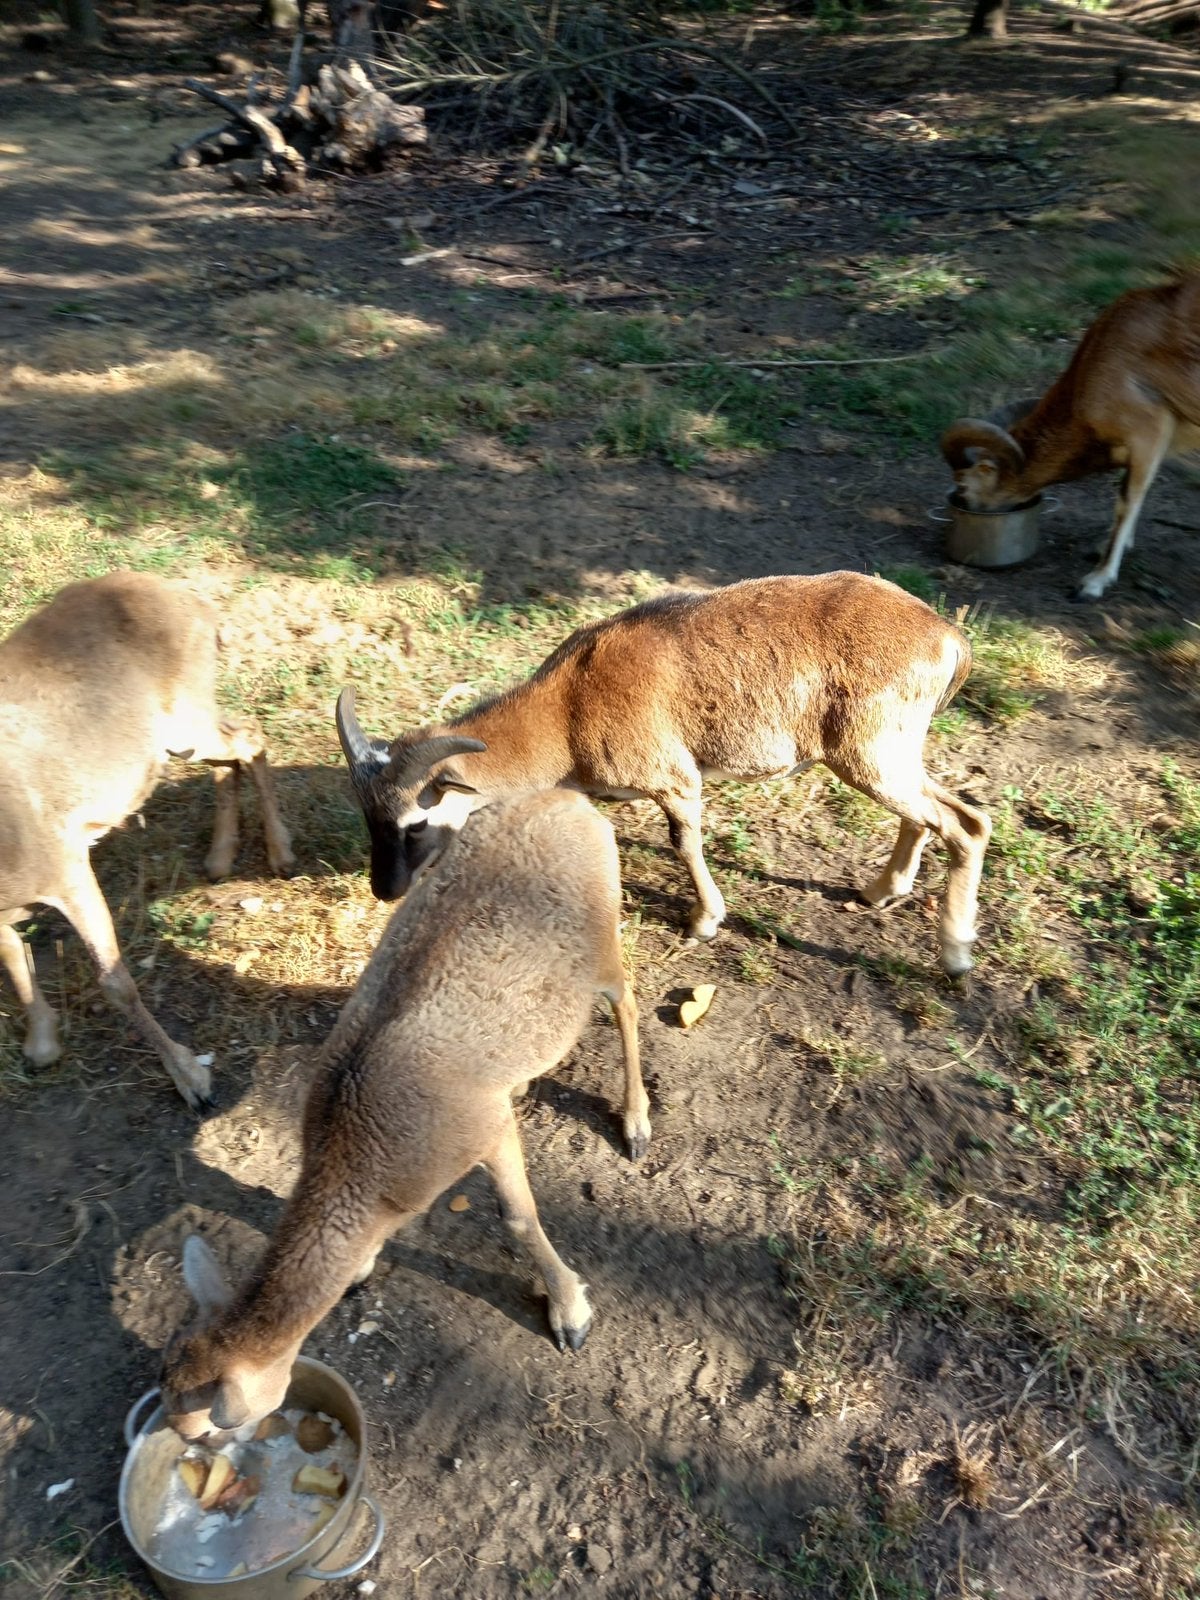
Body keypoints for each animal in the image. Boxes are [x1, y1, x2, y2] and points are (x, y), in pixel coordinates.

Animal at [0, 572, 295, 1107]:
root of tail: (198, 606)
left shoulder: (66, 867)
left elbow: (115, 981)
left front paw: (192, 1080)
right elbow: (13, 955)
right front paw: (42, 1044)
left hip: (187, 721)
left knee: (249, 736)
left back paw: (280, 853)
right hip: (181, 736)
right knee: (230, 754)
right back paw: (220, 858)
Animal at [159, 789, 645, 1437]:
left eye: (216, 1428)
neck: (360, 1159)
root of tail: (567, 797)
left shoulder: (485, 1128)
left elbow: (518, 1218)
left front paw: (570, 1313)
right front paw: (361, 1268)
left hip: (603, 941)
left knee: (628, 1004)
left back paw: (636, 1122)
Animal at [336, 571, 992, 977]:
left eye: (416, 824)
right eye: (368, 819)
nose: (385, 890)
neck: (568, 706)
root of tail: (946, 637)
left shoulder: (675, 779)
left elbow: (683, 842)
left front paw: (705, 921)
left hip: (869, 753)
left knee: (966, 824)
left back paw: (955, 954)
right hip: (890, 751)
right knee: (936, 814)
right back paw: (883, 890)